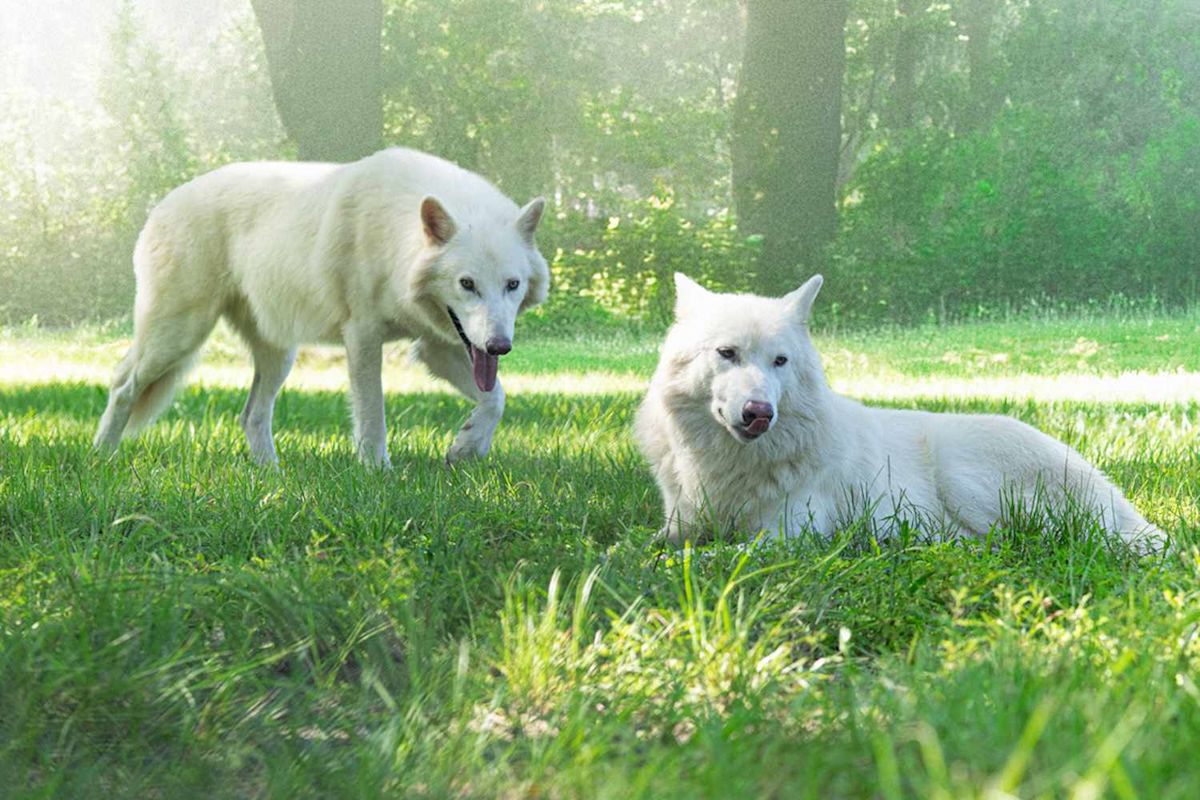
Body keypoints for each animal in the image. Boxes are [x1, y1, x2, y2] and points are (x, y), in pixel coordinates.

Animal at [94, 147, 549, 467]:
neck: (395, 239)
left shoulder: (439, 347)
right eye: (467, 284)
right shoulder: (363, 336)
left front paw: (467, 447)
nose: (500, 346)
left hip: (278, 356)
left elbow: (496, 398)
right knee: (123, 385)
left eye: (512, 285)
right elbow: (372, 413)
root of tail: (163, 203)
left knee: (251, 416)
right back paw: (102, 457)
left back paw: (271, 475)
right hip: (178, 336)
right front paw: (377, 471)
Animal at [635, 273, 1166, 553]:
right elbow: (643, 543)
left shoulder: (787, 534)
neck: (730, 466)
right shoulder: (679, 523)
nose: (759, 413)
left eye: (779, 361)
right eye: (727, 353)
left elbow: (718, 554)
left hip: (965, 478)